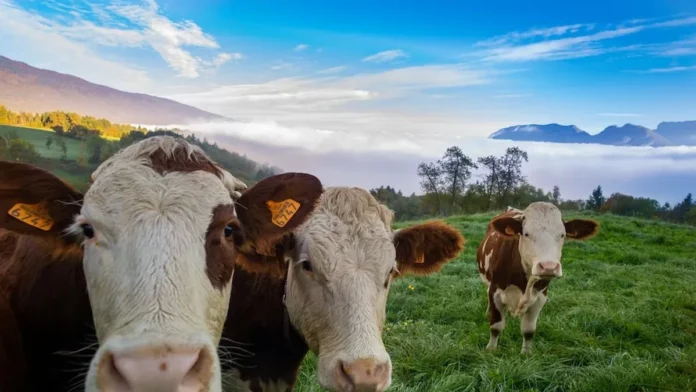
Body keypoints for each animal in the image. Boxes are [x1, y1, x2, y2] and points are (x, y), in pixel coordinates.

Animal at [478, 204, 600, 354]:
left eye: (562, 235)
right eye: (526, 234)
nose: (549, 267)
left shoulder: (540, 297)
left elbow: (528, 330)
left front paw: (526, 354)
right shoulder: (495, 292)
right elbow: (496, 327)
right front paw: (491, 349)